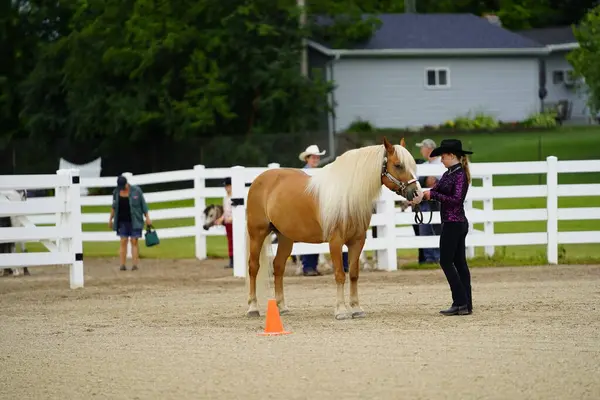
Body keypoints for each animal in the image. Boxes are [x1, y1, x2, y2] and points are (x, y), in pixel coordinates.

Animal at [244, 137, 422, 318]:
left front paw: (356, 308)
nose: (417, 194)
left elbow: (354, 274)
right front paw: (341, 310)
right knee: (253, 267)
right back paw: (253, 308)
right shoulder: (335, 242)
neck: (348, 196)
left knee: (279, 266)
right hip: (257, 233)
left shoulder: (357, 241)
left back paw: (282, 307)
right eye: (398, 165)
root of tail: (260, 179)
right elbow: (340, 274)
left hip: (285, 237)